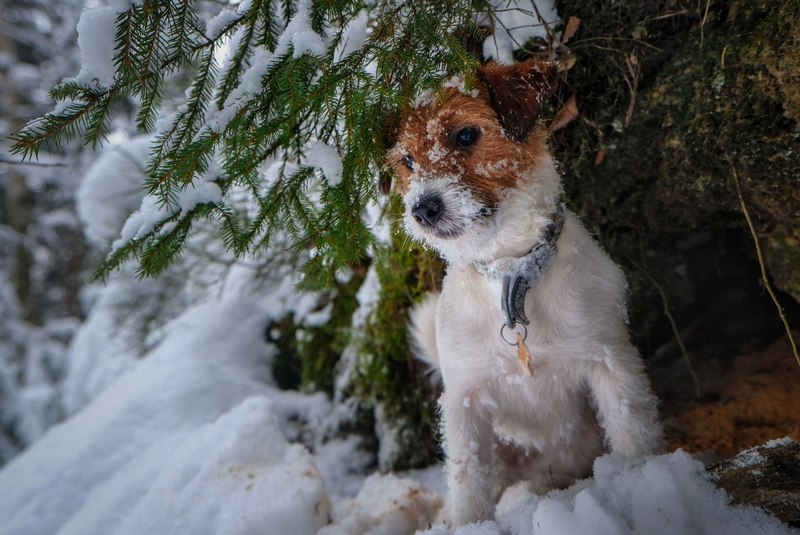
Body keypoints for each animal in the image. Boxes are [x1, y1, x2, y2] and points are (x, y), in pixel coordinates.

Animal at [388, 60, 664, 524]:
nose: (421, 209)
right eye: (407, 160)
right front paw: (467, 525)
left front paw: (645, 480)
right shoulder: (465, 400)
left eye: (466, 135)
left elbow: (633, 431)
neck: (510, 277)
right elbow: (469, 477)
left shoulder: (610, 362)